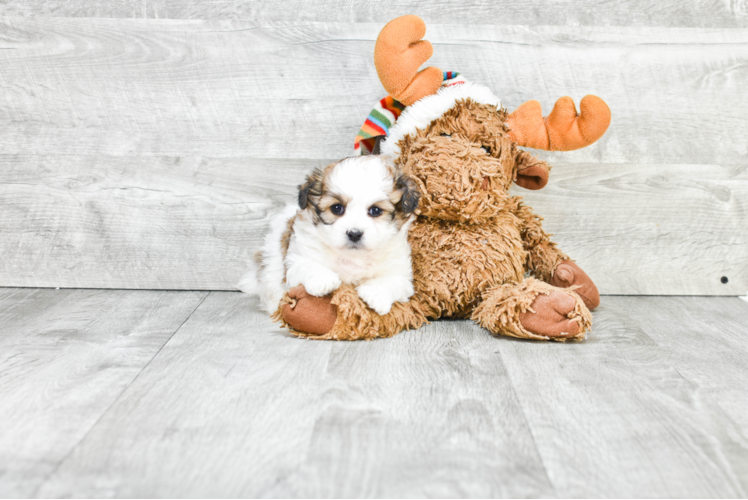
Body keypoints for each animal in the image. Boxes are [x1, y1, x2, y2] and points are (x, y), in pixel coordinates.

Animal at [238, 155, 420, 316]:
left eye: (375, 211)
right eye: (336, 208)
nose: (354, 233)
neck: (353, 257)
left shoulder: (401, 273)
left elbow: (392, 280)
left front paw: (376, 294)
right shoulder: (297, 258)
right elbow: (307, 265)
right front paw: (323, 280)